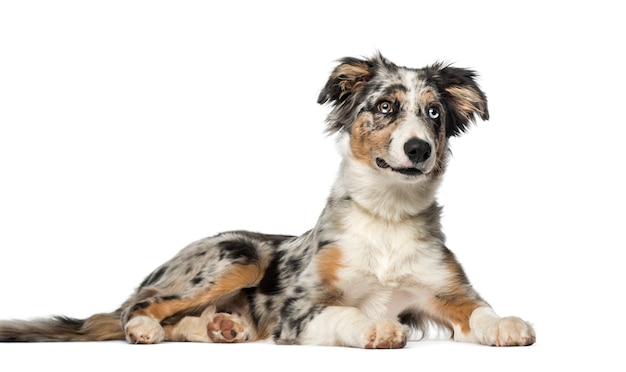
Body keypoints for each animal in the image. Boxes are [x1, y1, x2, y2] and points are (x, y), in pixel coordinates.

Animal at [1, 53, 536, 348]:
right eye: (385, 107)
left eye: (434, 114)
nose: (419, 149)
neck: (386, 216)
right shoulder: (299, 309)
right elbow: (349, 314)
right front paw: (376, 329)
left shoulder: (447, 293)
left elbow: (481, 311)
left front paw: (506, 324)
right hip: (237, 255)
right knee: (143, 305)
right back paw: (145, 329)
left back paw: (221, 328)